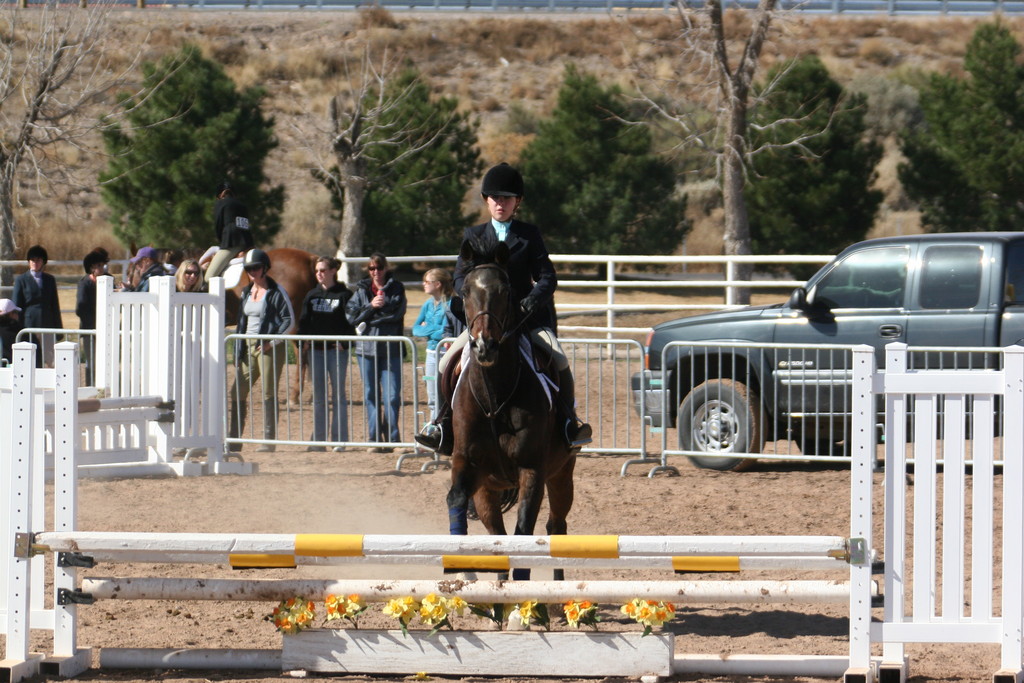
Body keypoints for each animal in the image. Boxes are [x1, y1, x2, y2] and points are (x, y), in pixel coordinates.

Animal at [448, 237, 577, 581]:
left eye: (505, 291)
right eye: (465, 290)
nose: (484, 346)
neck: (496, 396)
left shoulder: (533, 471)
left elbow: (523, 536)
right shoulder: (469, 467)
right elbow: (458, 499)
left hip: (562, 474)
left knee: (556, 526)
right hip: (490, 489)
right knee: (497, 533)